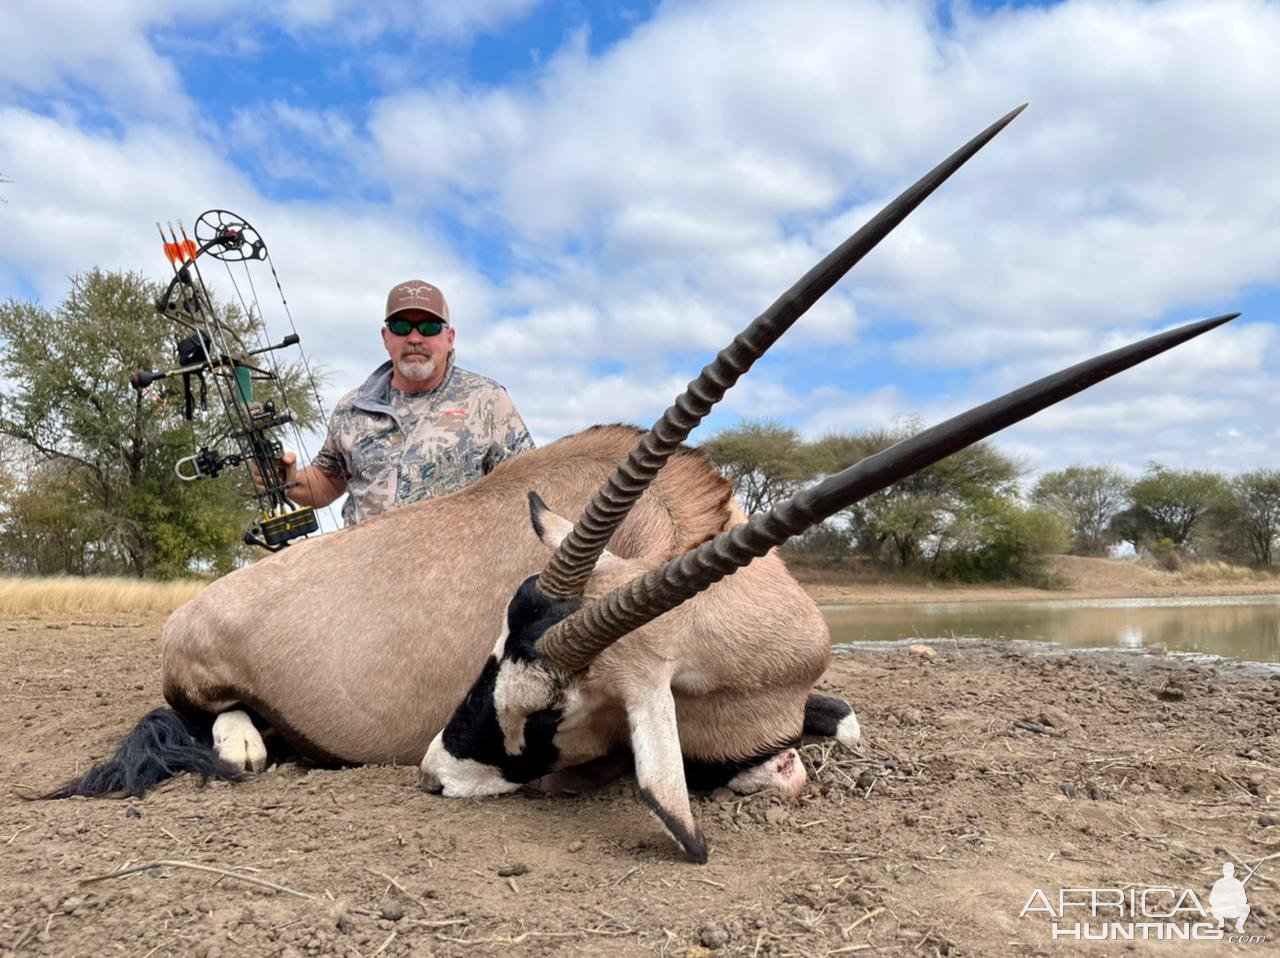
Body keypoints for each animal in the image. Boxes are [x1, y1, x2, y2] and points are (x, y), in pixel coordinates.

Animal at [45, 105, 1233, 860]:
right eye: (495, 673)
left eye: (544, 710)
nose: (432, 770)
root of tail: (205, 600)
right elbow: (769, 769)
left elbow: (839, 725)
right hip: (199, 671)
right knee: (205, 719)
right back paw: (250, 743)